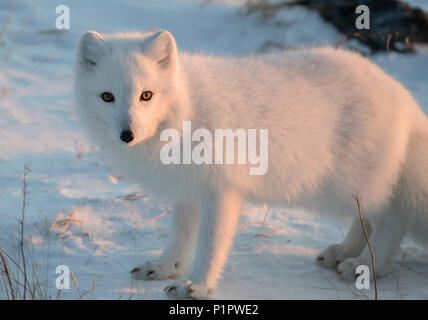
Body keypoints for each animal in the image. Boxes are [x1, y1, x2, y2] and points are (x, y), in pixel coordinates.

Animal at [74, 30, 428, 300]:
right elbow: (180, 236)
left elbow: (209, 245)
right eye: (107, 97)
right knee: (364, 220)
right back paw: (343, 251)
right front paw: (165, 268)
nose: (127, 134)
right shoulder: (188, 190)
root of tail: (403, 97)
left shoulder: (221, 191)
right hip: (347, 190)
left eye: (146, 95)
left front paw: (197, 285)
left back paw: (365, 265)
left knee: (391, 221)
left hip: (348, 186)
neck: (187, 113)